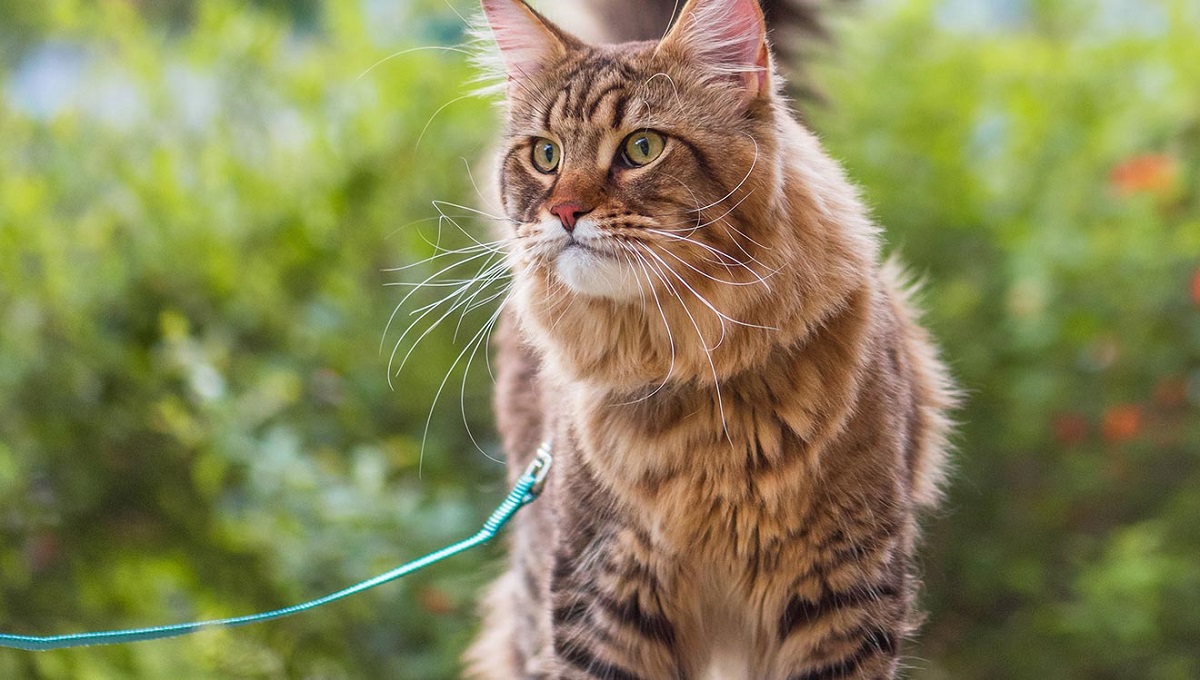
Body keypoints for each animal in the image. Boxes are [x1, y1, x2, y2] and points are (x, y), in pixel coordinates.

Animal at [463, 0, 950, 676]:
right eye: (546, 155)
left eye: (641, 147)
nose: (563, 213)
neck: (691, 371)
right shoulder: (603, 593)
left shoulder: (844, 589)